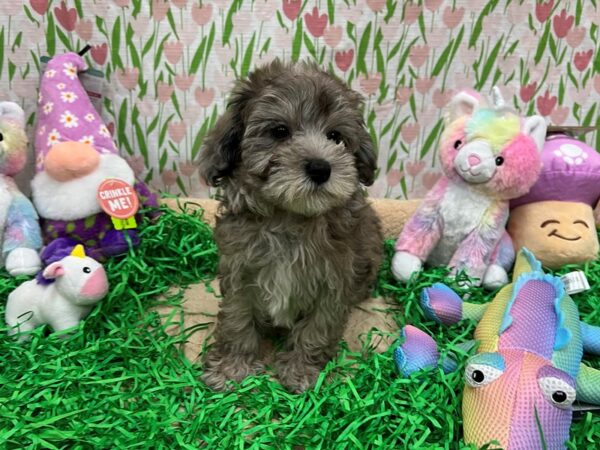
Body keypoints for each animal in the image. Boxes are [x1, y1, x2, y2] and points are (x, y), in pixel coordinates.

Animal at [198, 60, 384, 394]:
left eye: (335, 136)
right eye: (279, 132)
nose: (321, 168)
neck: (289, 218)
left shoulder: (334, 280)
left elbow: (316, 329)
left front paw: (302, 371)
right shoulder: (239, 271)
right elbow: (236, 320)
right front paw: (232, 368)